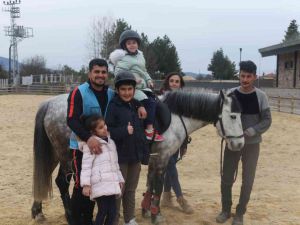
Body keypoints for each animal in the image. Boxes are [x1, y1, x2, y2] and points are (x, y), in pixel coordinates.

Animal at [31, 89, 245, 224]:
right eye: (233, 116)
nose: (240, 144)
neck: (177, 117)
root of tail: (50, 103)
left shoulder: (154, 158)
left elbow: (150, 185)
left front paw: (145, 210)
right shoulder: (162, 159)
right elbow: (158, 185)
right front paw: (156, 215)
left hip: (55, 154)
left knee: (45, 178)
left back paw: (38, 211)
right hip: (68, 156)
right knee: (62, 182)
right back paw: (69, 216)